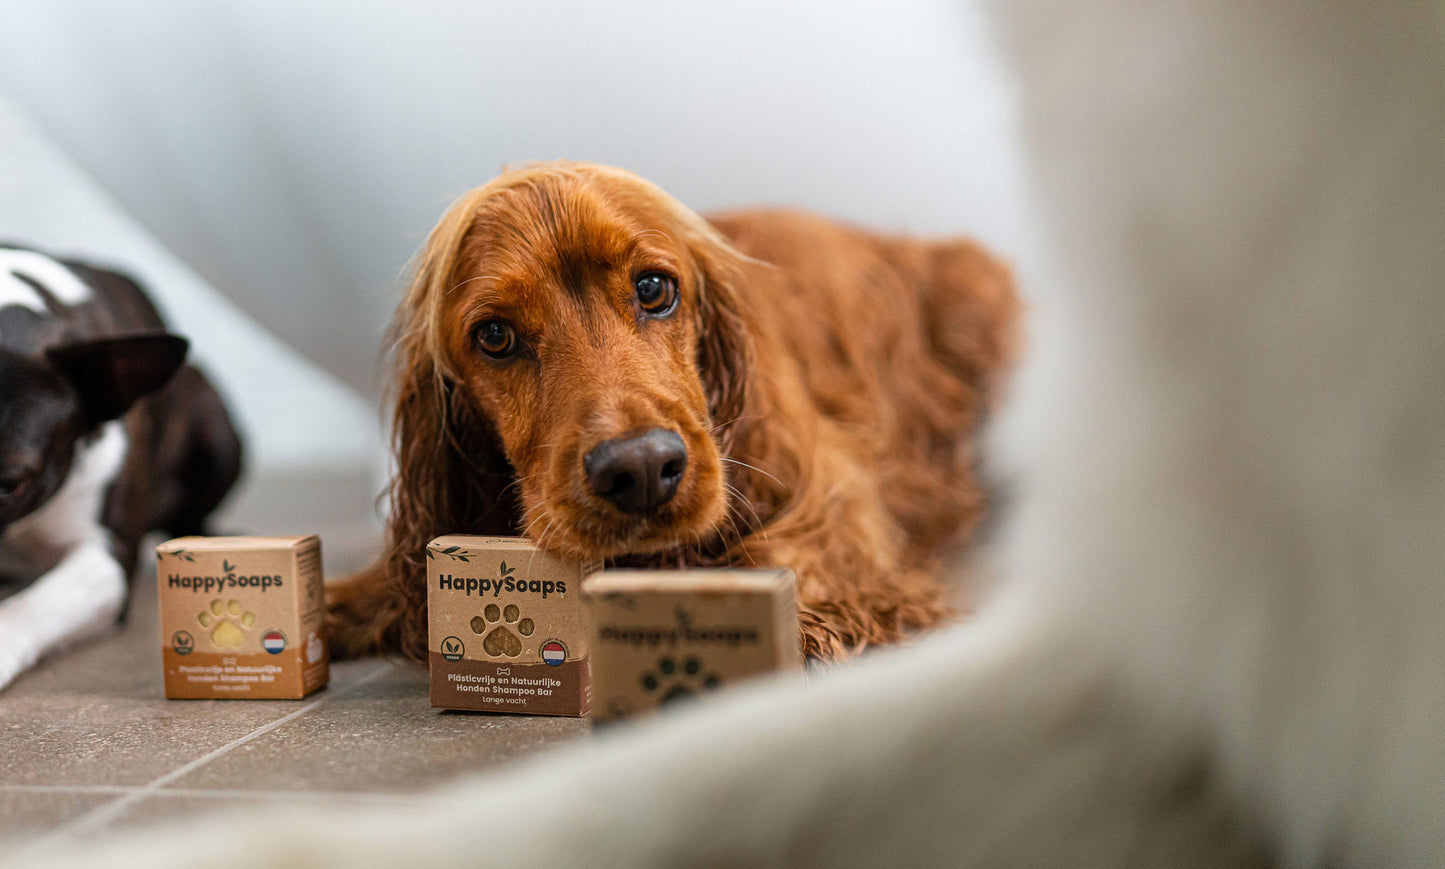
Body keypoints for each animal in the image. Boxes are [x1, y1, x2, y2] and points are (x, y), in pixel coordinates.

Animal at [330, 162, 1017, 656]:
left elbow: (794, 555)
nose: (639, 470)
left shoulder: (829, 496)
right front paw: (344, 601)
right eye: (494, 336)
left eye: (655, 288)